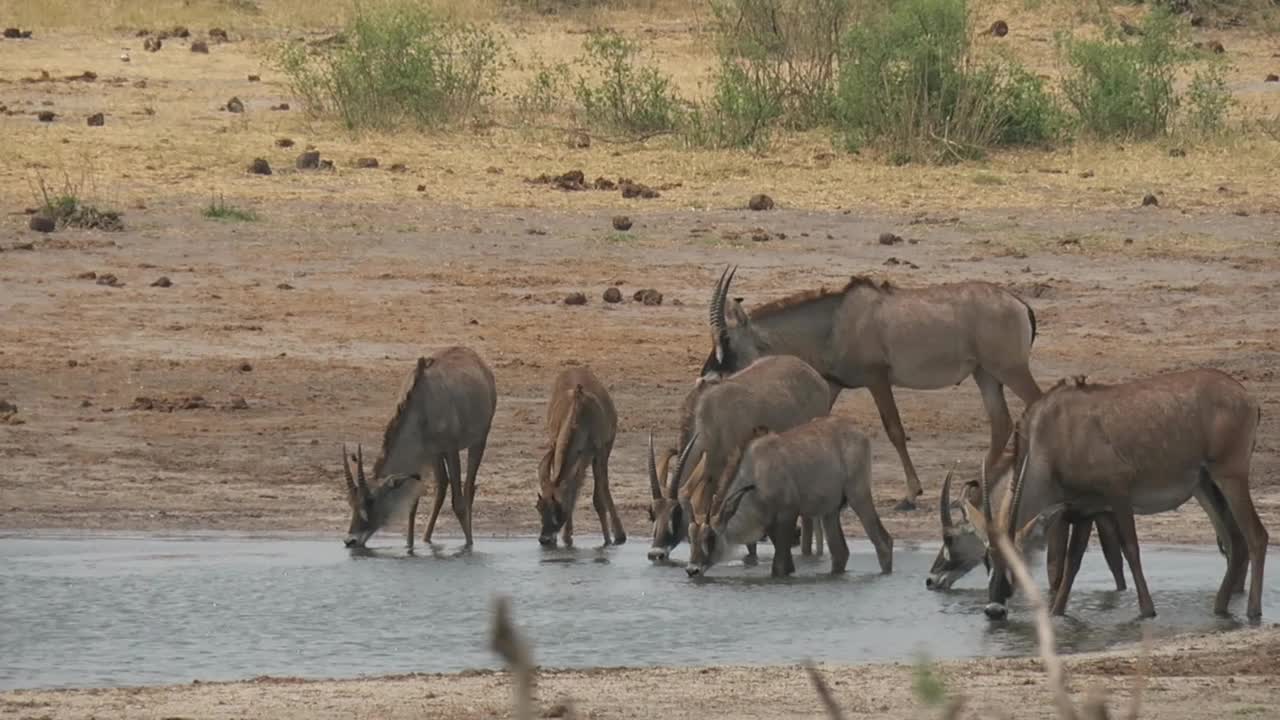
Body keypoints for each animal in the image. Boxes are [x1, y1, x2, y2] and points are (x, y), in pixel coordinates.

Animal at [343, 345, 496, 545]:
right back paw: (426, 539)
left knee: (468, 488)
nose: (350, 540)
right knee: (442, 485)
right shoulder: (425, 453)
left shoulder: (450, 448)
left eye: (371, 500)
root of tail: (476, 358)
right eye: (351, 502)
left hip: (478, 440)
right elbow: (413, 505)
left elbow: (458, 503)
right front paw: (409, 545)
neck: (422, 405)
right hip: (437, 455)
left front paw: (469, 545)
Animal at [535, 363, 624, 543]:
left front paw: (609, 539)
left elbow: (599, 496)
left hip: (604, 449)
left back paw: (618, 534)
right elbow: (572, 485)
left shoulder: (600, 451)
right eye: (539, 508)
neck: (578, 412)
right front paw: (567, 537)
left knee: (602, 487)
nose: (544, 539)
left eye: (557, 509)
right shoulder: (558, 447)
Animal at [645, 353, 834, 561]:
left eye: (677, 512)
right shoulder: (710, 476)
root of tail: (815, 376)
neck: (706, 416)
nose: (656, 553)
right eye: (652, 513)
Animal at [686, 415, 896, 576]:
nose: (692, 570)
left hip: (858, 496)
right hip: (830, 511)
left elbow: (779, 567)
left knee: (883, 543)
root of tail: (861, 435)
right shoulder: (771, 524)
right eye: (691, 536)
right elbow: (787, 565)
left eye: (710, 538)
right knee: (840, 553)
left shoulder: (788, 514)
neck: (756, 470)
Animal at [701, 266, 1039, 507]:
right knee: (1001, 422)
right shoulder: (833, 384)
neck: (834, 321)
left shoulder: (877, 379)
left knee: (1034, 404)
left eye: (726, 338)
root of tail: (1019, 303)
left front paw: (911, 494)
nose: (706, 377)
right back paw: (976, 491)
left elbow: (895, 430)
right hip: (986, 374)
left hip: (1011, 370)